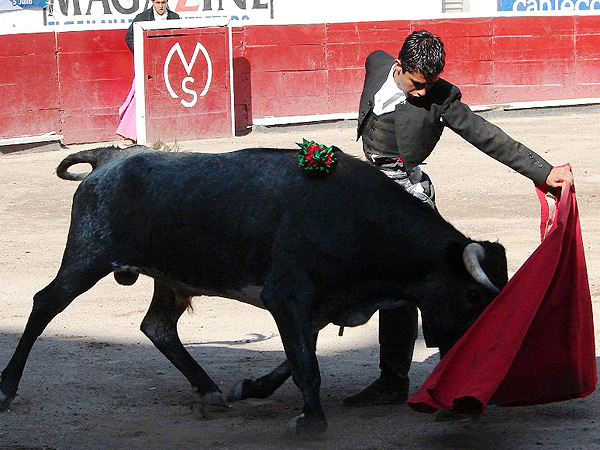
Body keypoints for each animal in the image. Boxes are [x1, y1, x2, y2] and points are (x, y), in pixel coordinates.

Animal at [0, 146, 506, 434]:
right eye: (471, 297)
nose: (466, 400)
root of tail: (110, 160)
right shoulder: (286, 297)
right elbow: (306, 365)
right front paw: (311, 421)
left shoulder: (316, 306)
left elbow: (297, 358)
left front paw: (249, 387)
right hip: (88, 257)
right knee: (45, 304)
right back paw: (7, 388)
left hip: (169, 277)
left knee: (158, 326)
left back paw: (210, 391)